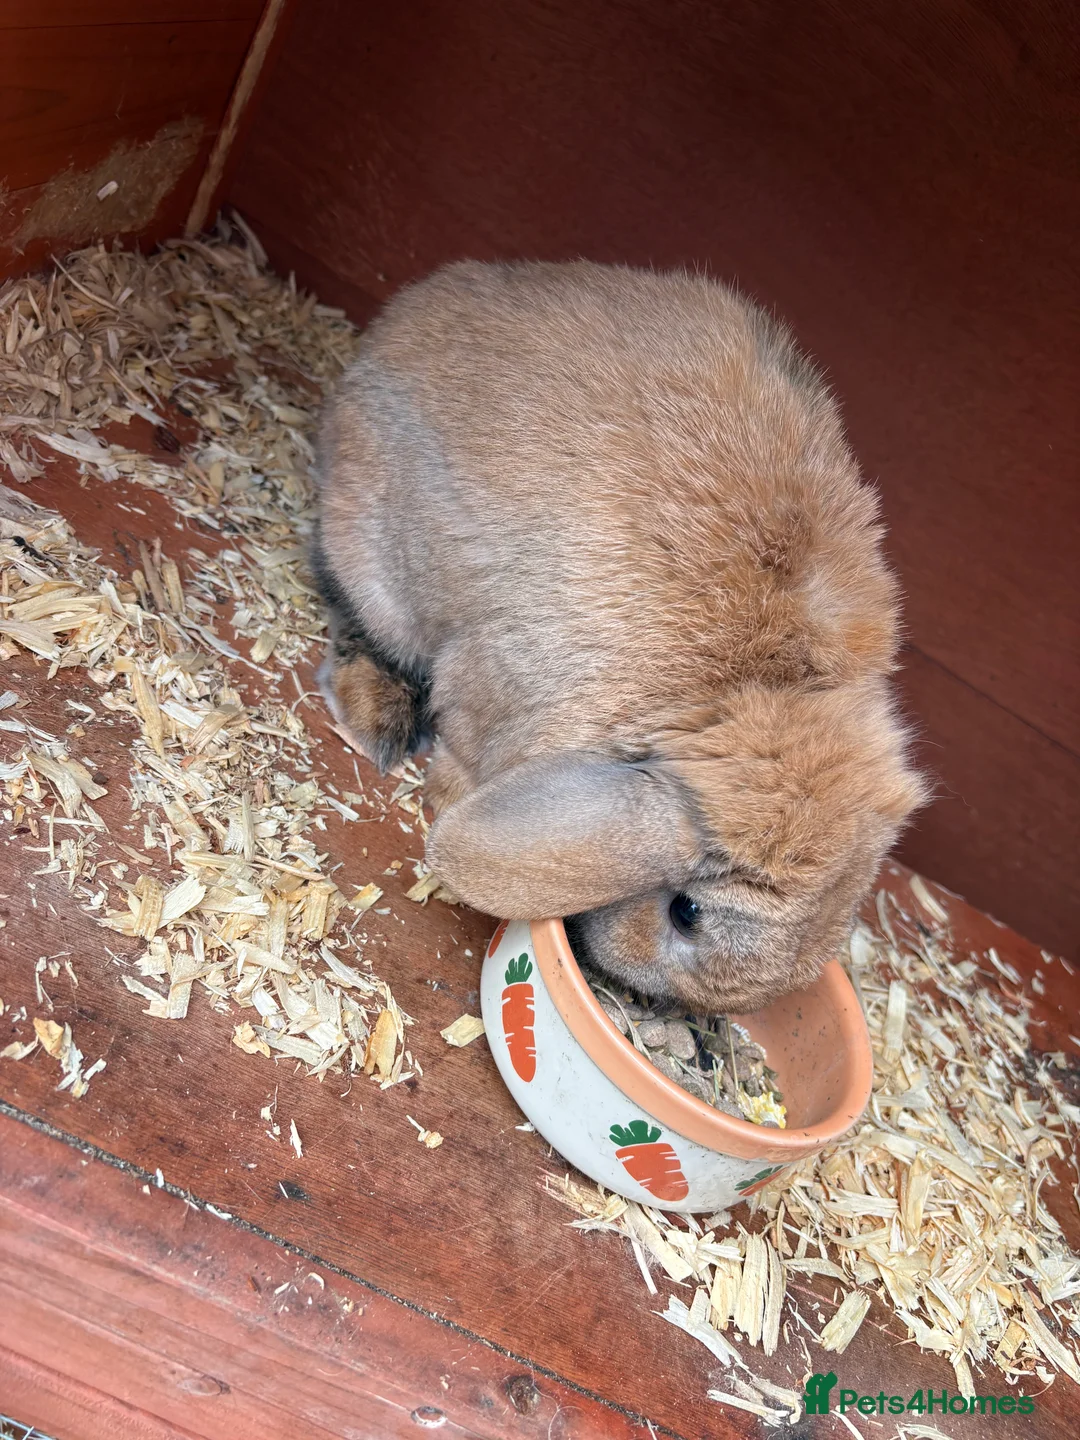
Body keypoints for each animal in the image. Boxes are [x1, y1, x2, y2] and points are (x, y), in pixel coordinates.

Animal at [312, 260, 928, 1015]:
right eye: (686, 910)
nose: (630, 984)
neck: (762, 687)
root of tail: (398, 320)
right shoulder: (493, 685)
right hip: (377, 561)